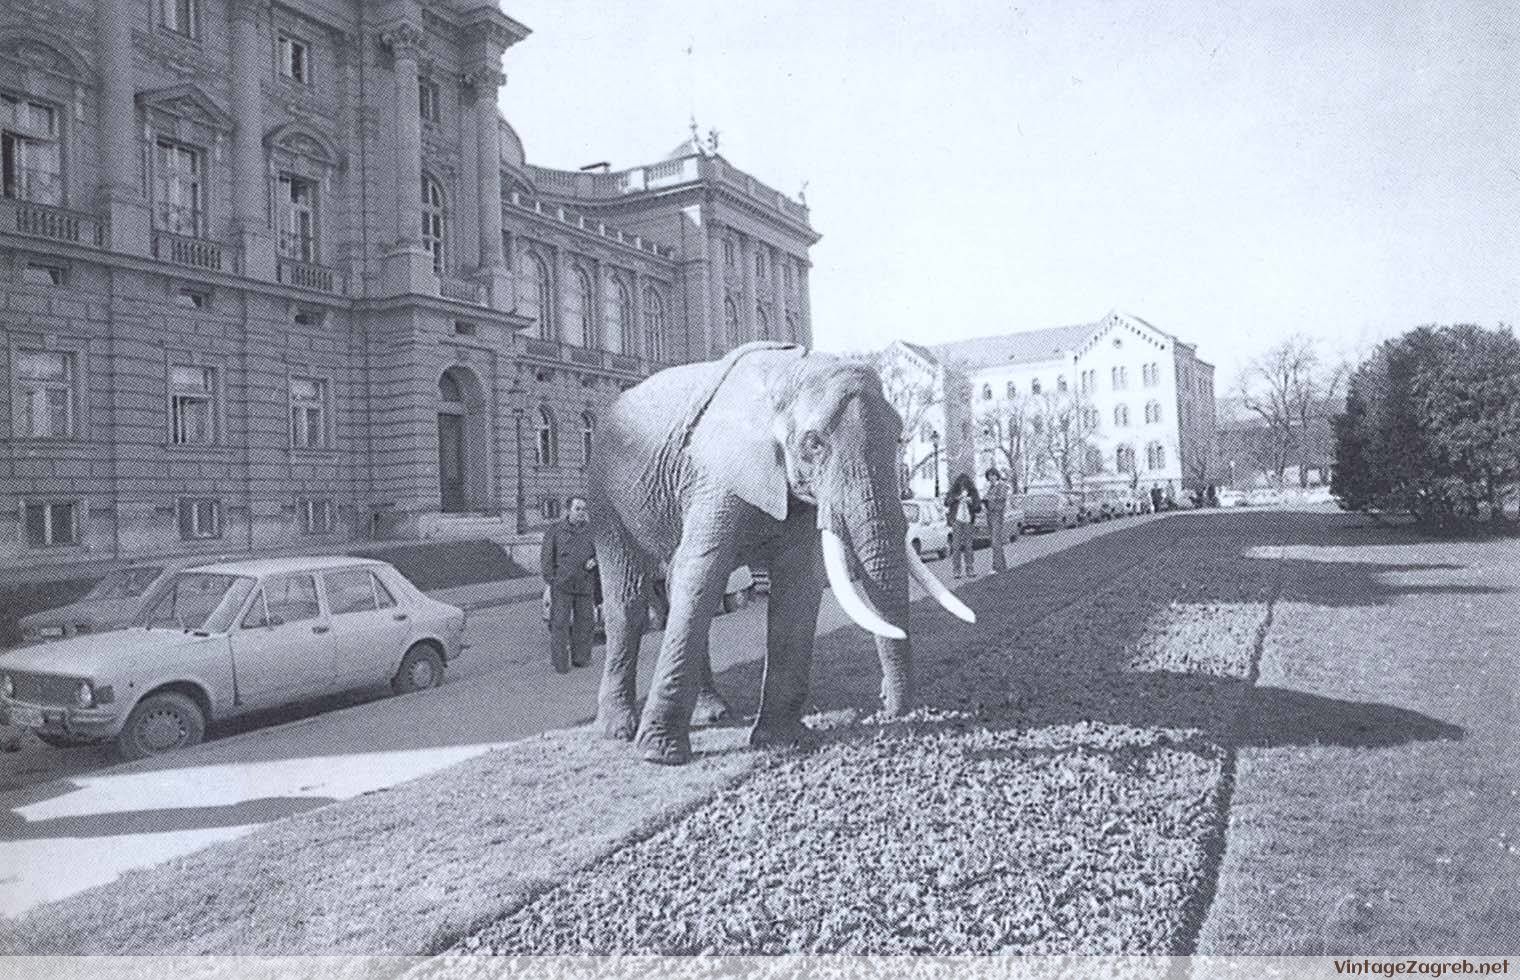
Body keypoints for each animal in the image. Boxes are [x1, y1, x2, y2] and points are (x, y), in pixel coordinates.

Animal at [583, 338, 972, 765]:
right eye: (814, 444)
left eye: (900, 437)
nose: (886, 702)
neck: (789, 376)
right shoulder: (718, 473)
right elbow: (703, 571)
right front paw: (658, 755)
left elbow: (797, 584)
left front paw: (781, 740)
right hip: (603, 495)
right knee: (630, 600)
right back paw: (618, 729)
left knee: (675, 587)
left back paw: (715, 713)